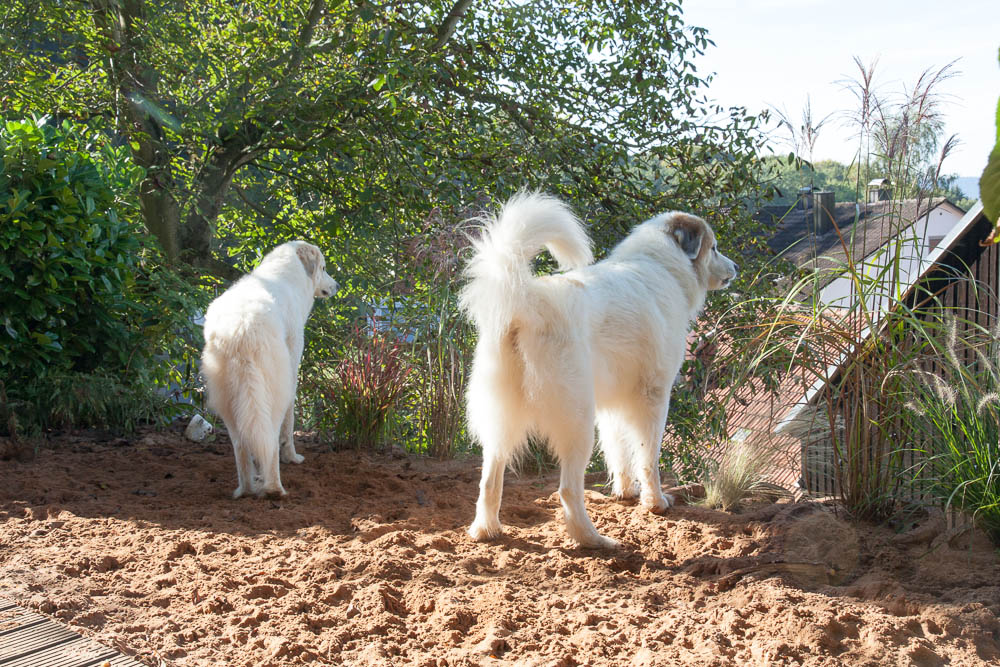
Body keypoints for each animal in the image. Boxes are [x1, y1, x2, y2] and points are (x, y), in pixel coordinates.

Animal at [201, 243, 338, 498]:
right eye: (324, 268)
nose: (337, 286)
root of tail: (240, 329)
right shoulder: (292, 370)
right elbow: (289, 421)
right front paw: (292, 457)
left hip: (229, 401)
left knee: (241, 444)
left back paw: (246, 489)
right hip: (270, 392)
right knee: (270, 438)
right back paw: (274, 488)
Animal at [460, 193, 736, 548]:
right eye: (714, 247)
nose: (735, 268)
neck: (662, 266)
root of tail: (526, 301)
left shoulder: (613, 404)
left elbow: (619, 451)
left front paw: (625, 492)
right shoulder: (654, 396)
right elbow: (648, 456)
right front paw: (655, 502)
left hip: (501, 421)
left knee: (489, 483)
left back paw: (486, 530)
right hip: (577, 419)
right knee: (567, 490)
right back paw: (593, 540)